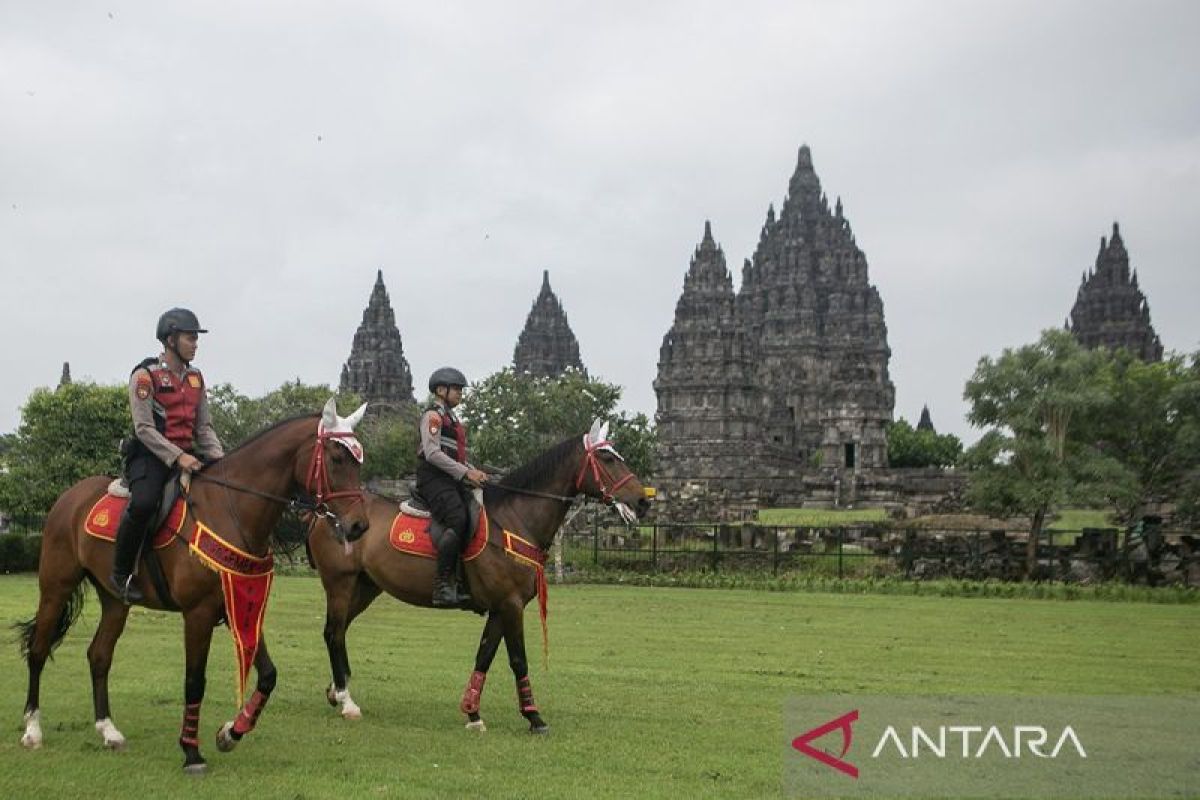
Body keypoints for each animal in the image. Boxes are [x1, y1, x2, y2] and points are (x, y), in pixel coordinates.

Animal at [15, 398, 369, 772]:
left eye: (358, 461)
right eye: (336, 458)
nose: (359, 526)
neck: (230, 508)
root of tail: (69, 497)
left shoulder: (239, 606)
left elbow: (269, 675)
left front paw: (230, 732)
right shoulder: (197, 614)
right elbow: (194, 681)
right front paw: (191, 751)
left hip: (114, 600)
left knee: (99, 655)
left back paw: (108, 730)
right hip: (56, 586)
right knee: (38, 650)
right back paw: (33, 729)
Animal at [309, 422, 648, 734]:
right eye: (607, 458)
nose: (643, 501)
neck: (513, 519)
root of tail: (326, 512)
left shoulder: (500, 608)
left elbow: (484, 656)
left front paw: (472, 713)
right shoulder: (511, 605)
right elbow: (518, 659)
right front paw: (534, 716)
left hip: (366, 587)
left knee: (339, 631)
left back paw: (336, 690)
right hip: (340, 584)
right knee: (334, 632)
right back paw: (346, 700)